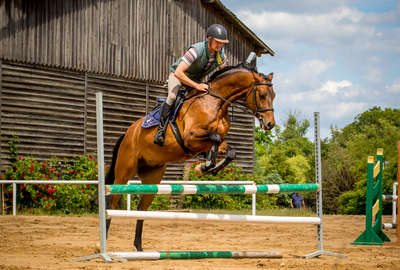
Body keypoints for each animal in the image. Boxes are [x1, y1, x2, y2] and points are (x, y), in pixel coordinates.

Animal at [104, 63, 276, 251]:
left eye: (274, 96)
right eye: (262, 95)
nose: (270, 124)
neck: (216, 103)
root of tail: (127, 134)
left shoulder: (213, 142)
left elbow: (229, 151)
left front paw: (205, 168)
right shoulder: (190, 137)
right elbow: (215, 138)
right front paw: (204, 166)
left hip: (152, 177)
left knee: (142, 209)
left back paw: (139, 248)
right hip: (124, 172)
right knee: (112, 203)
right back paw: (103, 242)